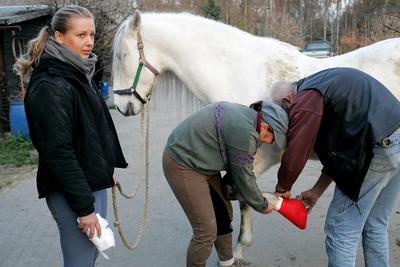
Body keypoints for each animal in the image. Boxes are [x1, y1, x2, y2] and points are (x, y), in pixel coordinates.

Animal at [111, 9, 400, 262]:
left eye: (122, 55)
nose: (122, 106)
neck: (239, 72)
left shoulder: (259, 157)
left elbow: (240, 193)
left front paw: (241, 247)